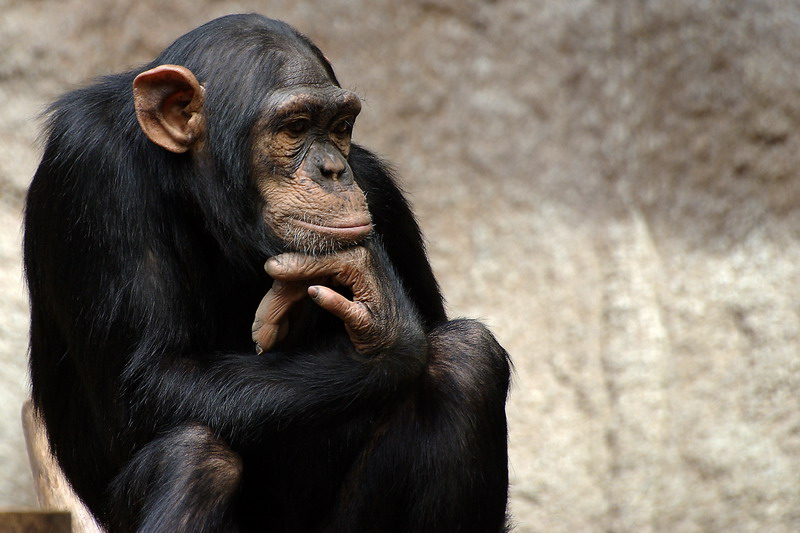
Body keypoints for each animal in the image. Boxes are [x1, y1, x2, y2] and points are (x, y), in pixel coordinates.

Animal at [26, 12, 512, 532]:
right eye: (296, 126)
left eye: (340, 126)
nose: (333, 169)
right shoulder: (92, 170)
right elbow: (146, 381)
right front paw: (385, 328)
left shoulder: (379, 189)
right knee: (196, 458)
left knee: (467, 360)